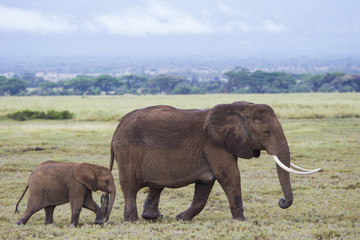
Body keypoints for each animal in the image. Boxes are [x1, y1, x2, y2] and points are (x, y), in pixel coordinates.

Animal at [110, 101, 320, 221]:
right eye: (266, 132)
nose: (282, 201)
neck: (240, 108)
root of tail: (117, 128)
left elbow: (206, 183)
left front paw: (181, 218)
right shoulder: (214, 144)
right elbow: (229, 176)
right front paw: (242, 220)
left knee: (156, 186)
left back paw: (153, 218)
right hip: (128, 151)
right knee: (130, 187)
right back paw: (132, 221)